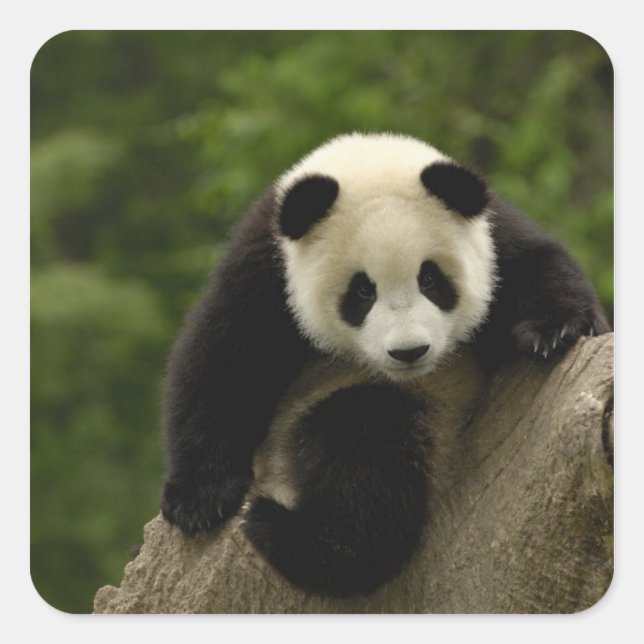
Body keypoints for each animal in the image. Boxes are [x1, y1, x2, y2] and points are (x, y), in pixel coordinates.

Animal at [160, 132, 609, 596]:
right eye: (362, 291)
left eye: (430, 279)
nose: (409, 351)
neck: (367, 159)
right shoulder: (265, 264)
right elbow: (223, 360)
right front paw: (200, 502)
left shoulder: (492, 238)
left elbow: (541, 265)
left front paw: (555, 330)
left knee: (366, 441)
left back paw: (287, 533)